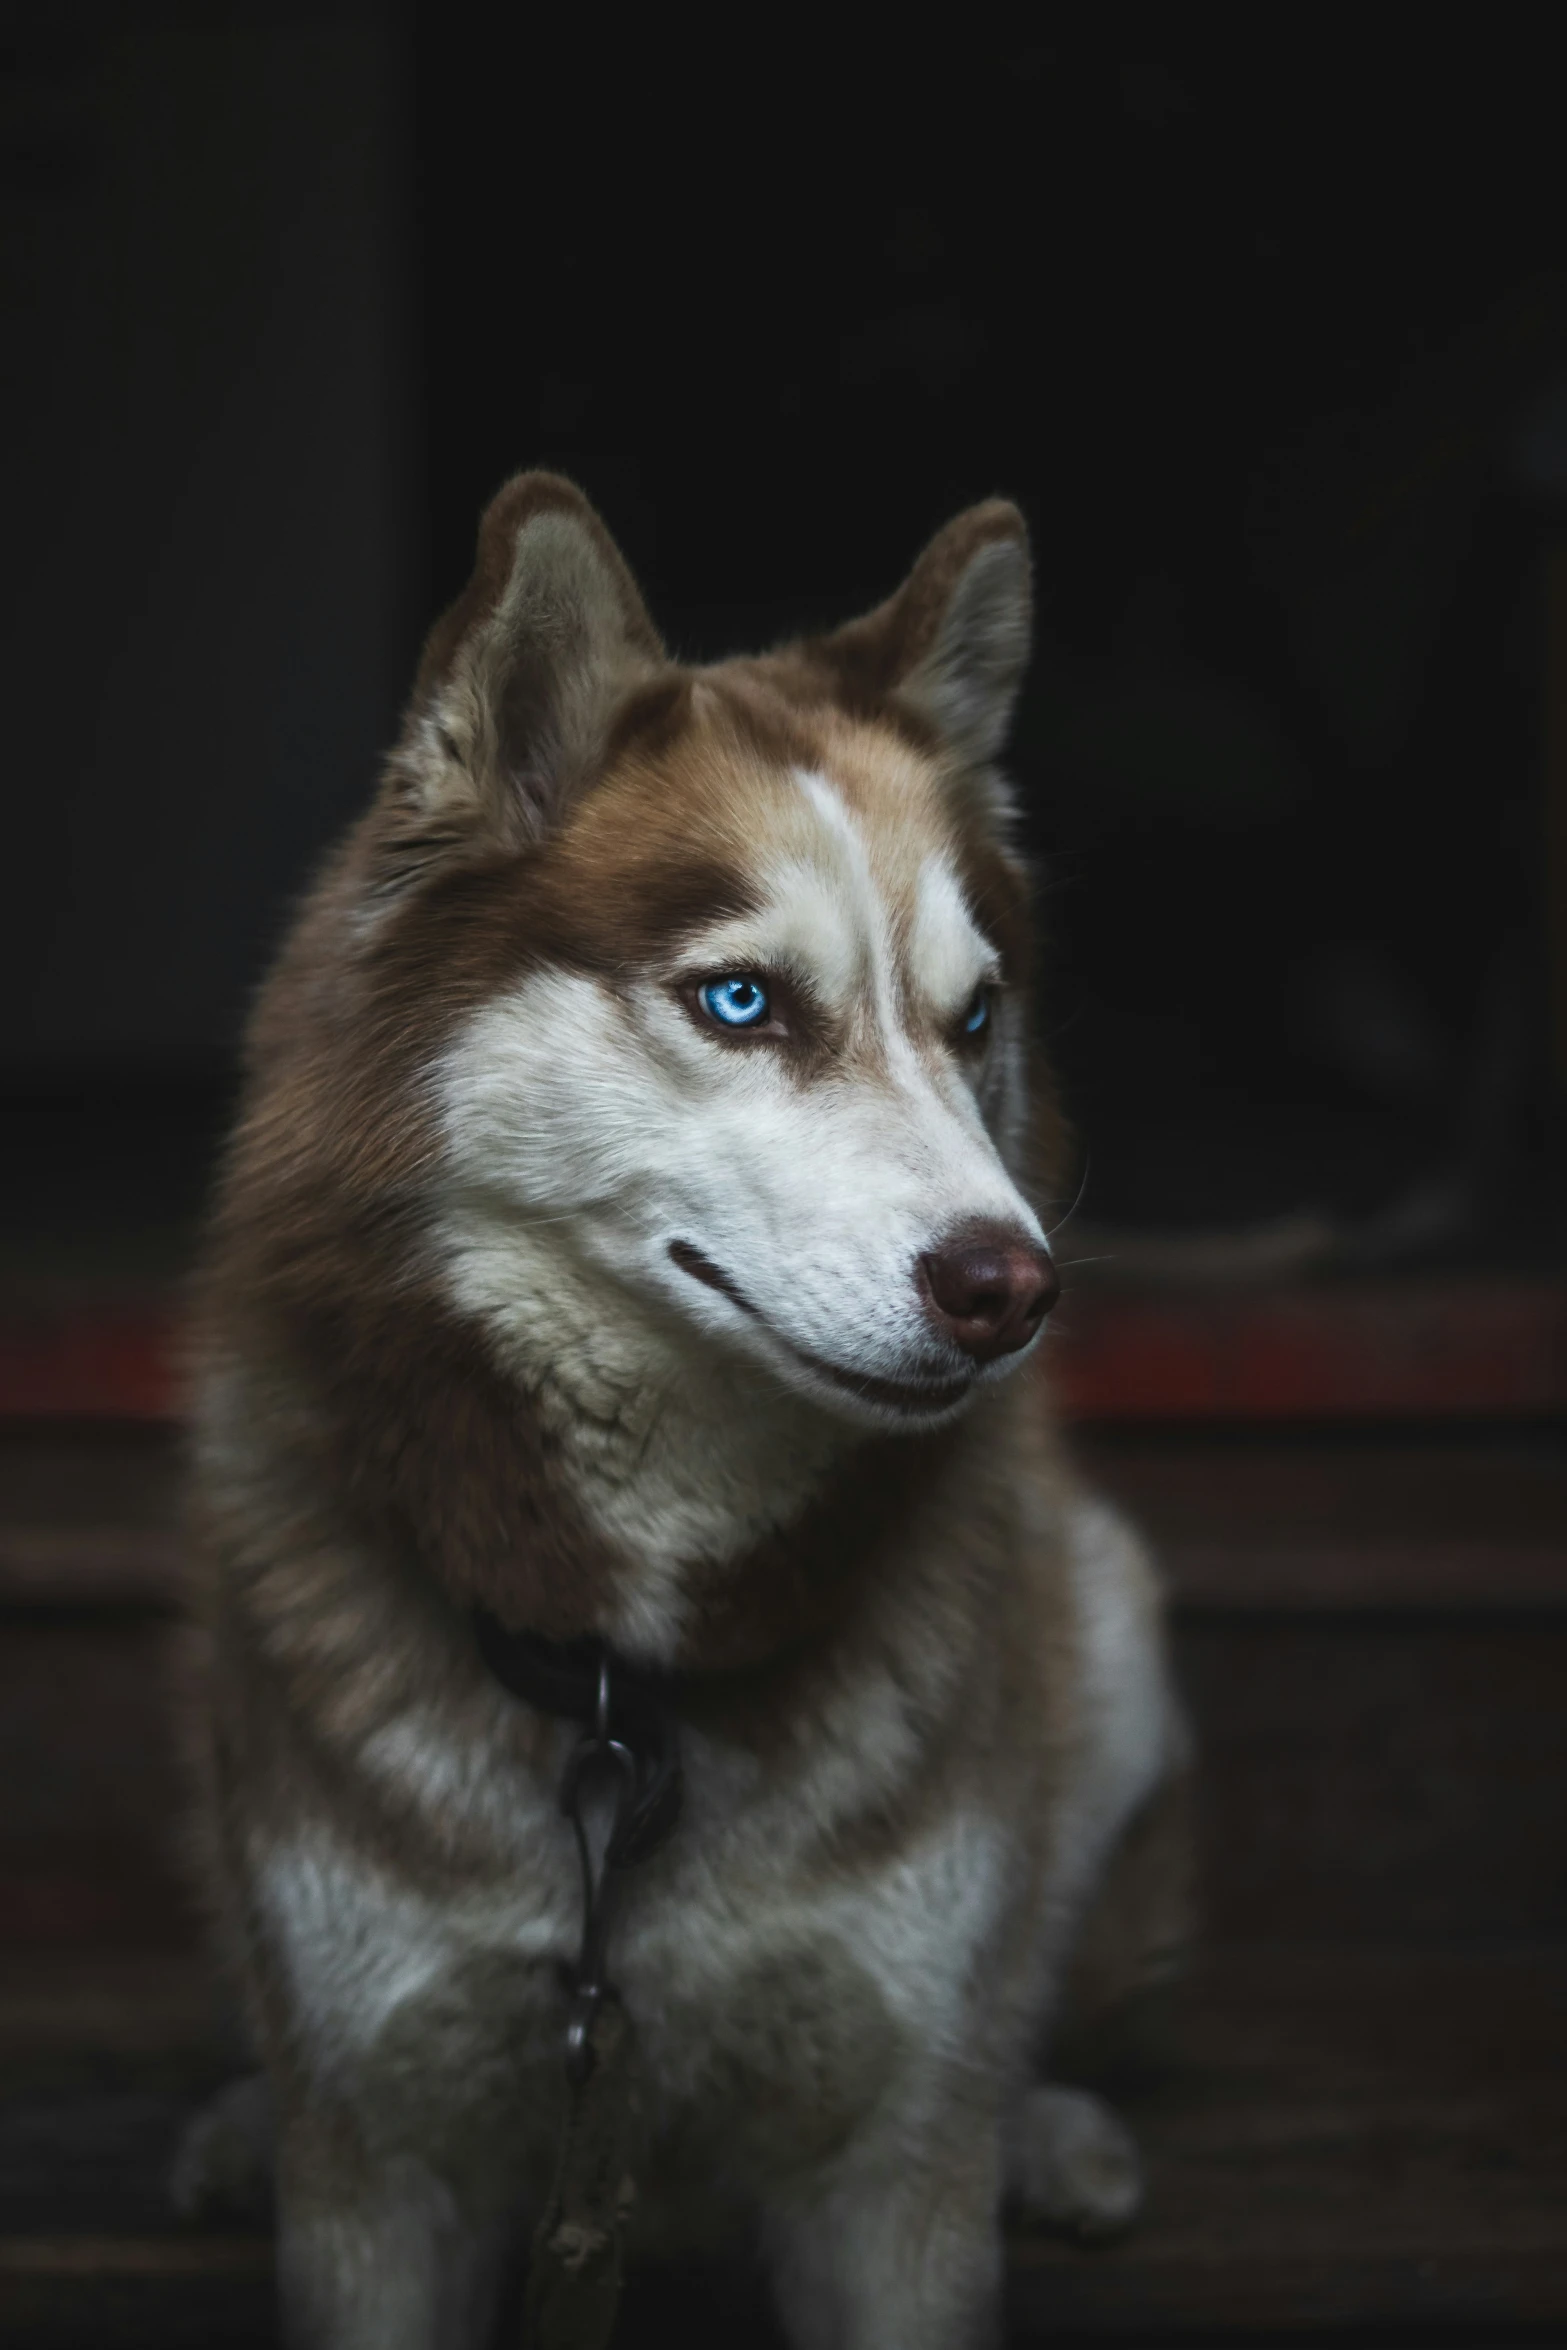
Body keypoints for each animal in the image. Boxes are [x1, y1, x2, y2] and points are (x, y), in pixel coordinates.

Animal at [180, 467, 1188, 2340]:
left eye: (975, 1018)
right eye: (740, 1000)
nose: (1013, 1286)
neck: (621, 1686)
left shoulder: (889, 2178)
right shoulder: (383, 2176)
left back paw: (1051, 2128)